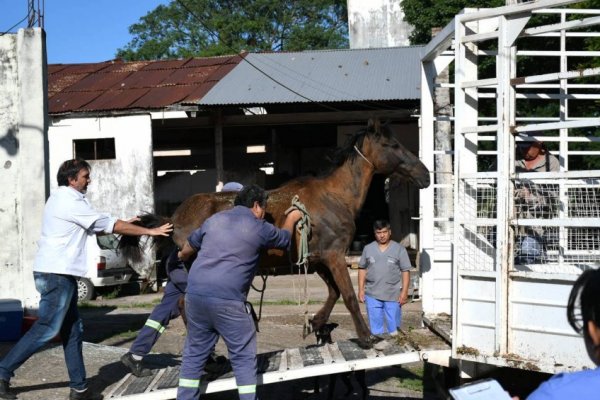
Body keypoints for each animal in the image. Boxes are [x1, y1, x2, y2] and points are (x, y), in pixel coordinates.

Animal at [123, 119, 432, 346]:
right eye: (392, 144)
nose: (425, 175)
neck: (334, 197)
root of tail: (175, 218)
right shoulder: (334, 256)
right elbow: (348, 296)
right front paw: (367, 338)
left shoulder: (317, 259)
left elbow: (332, 293)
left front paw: (315, 324)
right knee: (187, 304)